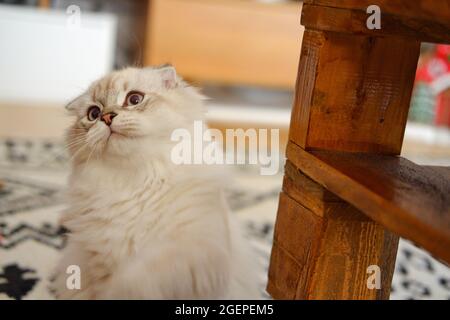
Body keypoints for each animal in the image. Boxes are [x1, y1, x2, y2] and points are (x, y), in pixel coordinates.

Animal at [53, 66, 262, 298]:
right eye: (93, 114)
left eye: (134, 99)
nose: (106, 117)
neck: (137, 182)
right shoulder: (93, 261)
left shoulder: (198, 254)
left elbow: (138, 279)